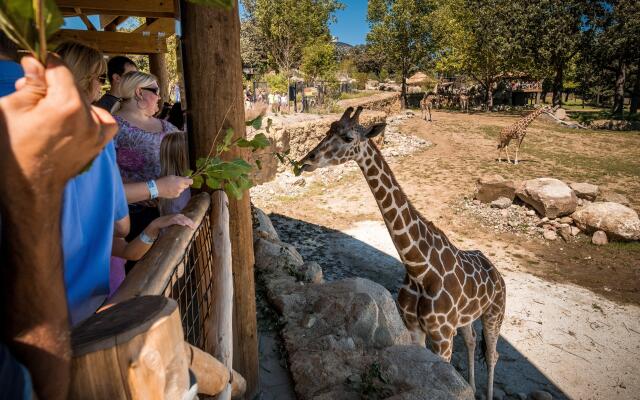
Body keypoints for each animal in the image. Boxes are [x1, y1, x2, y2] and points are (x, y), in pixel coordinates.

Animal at [298, 106, 508, 400]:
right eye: (328, 129)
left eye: (349, 137)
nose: (307, 159)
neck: (419, 268)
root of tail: (498, 274)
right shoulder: (415, 328)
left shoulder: (442, 337)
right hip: (467, 318)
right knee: (471, 340)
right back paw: (474, 388)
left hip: (495, 313)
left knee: (492, 355)